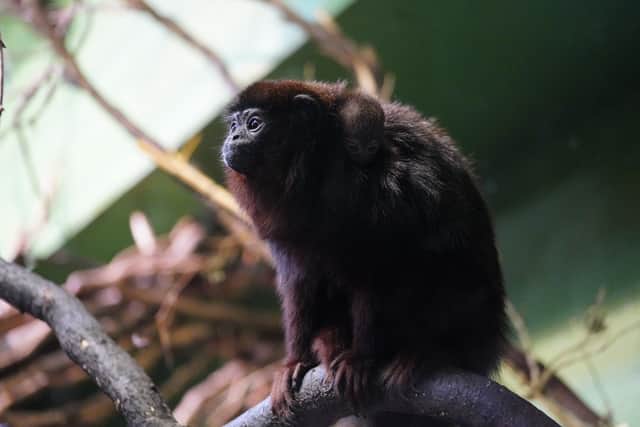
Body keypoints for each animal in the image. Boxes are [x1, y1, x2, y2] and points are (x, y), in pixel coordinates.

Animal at [221, 80, 507, 423]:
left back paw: (428, 352)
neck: (314, 173)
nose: (232, 139)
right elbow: (300, 283)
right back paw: (330, 343)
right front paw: (295, 361)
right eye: (233, 125)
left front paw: (361, 358)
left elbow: (379, 271)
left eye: (254, 123)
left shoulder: (383, 190)